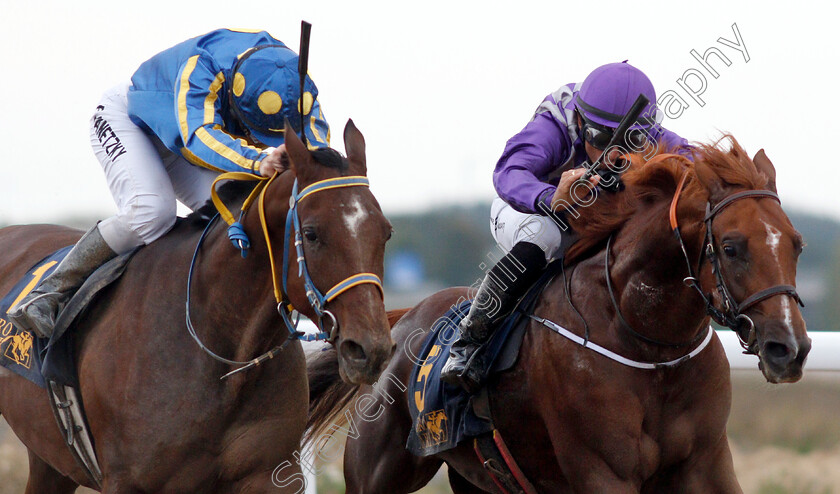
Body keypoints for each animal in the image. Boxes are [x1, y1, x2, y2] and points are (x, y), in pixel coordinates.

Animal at [0, 120, 394, 494]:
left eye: (385, 232)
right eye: (311, 233)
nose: (370, 349)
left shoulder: (270, 474)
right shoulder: (126, 481)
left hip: (49, 460)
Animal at [306, 138, 808, 494]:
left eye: (796, 243)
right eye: (732, 247)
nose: (789, 348)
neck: (652, 349)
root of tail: (402, 320)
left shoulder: (707, 465)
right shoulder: (604, 473)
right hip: (378, 470)